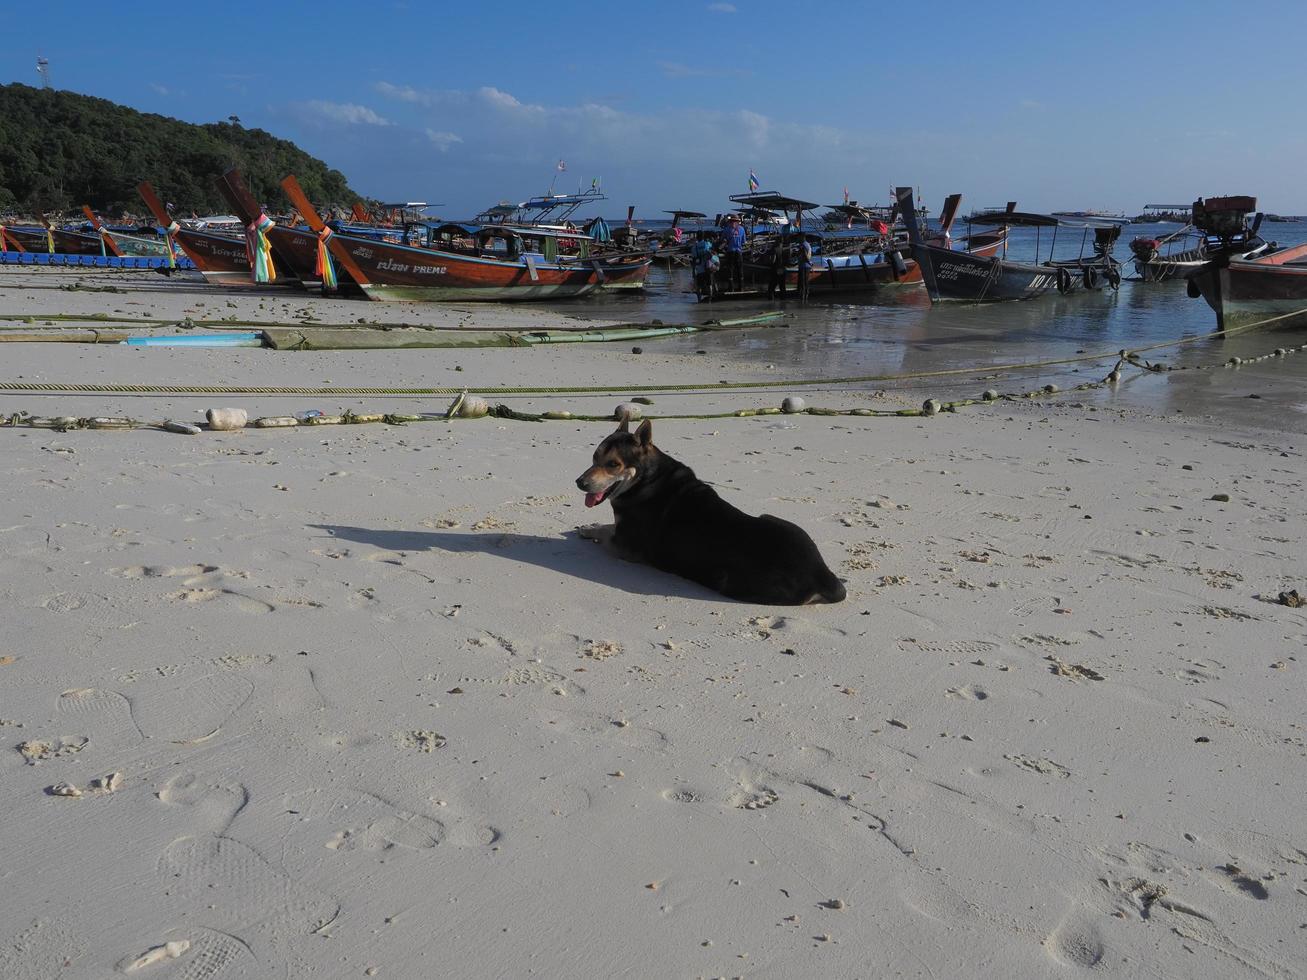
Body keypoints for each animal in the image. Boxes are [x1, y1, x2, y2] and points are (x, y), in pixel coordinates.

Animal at [575, 415, 846, 603]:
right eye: (594, 457)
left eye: (613, 464)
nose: (579, 482)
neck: (645, 478)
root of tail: (823, 576)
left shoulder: (624, 547)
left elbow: (606, 531)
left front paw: (588, 529)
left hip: (729, 580)